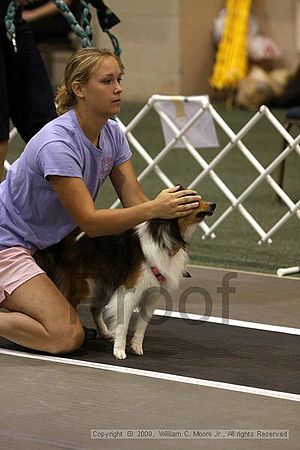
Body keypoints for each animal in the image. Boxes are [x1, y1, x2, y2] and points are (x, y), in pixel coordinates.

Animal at [33, 197, 216, 358]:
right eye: (194, 200)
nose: (213, 204)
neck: (167, 236)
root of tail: (68, 240)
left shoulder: (152, 294)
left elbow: (142, 324)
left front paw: (136, 345)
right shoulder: (129, 291)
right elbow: (124, 323)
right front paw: (119, 350)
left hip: (105, 286)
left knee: (94, 308)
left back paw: (105, 332)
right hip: (85, 286)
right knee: (72, 303)